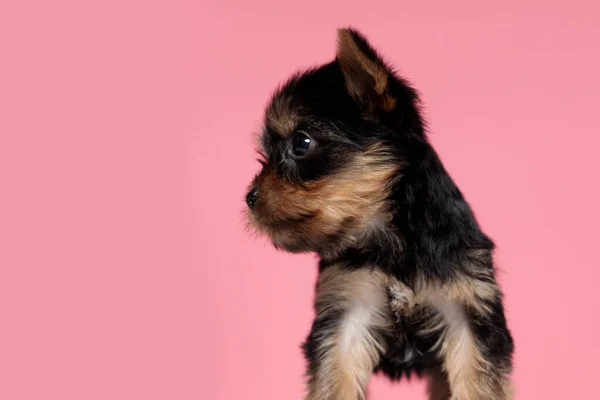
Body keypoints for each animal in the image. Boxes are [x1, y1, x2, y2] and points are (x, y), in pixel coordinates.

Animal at [246, 28, 512, 400]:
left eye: (301, 144)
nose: (249, 197)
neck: (390, 239)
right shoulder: (347, 309)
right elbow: (335, 380)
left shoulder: (467, 305)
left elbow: (477, 382)